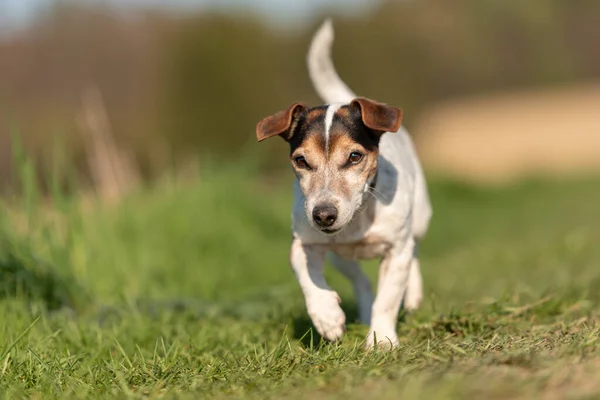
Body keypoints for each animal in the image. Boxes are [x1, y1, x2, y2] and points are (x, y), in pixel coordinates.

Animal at [254, 20, 432, 348]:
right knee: (361, 281)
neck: (359, 217)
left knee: (413, 253)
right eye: (301, 160)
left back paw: (412, 296)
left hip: (419, 221)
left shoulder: (396, 249)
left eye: (354, 156)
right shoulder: (304, 243)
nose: (323, 215)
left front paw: (381, 340)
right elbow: (307, 276)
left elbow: (388, 299)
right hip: (340, 258)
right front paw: (328, 317)